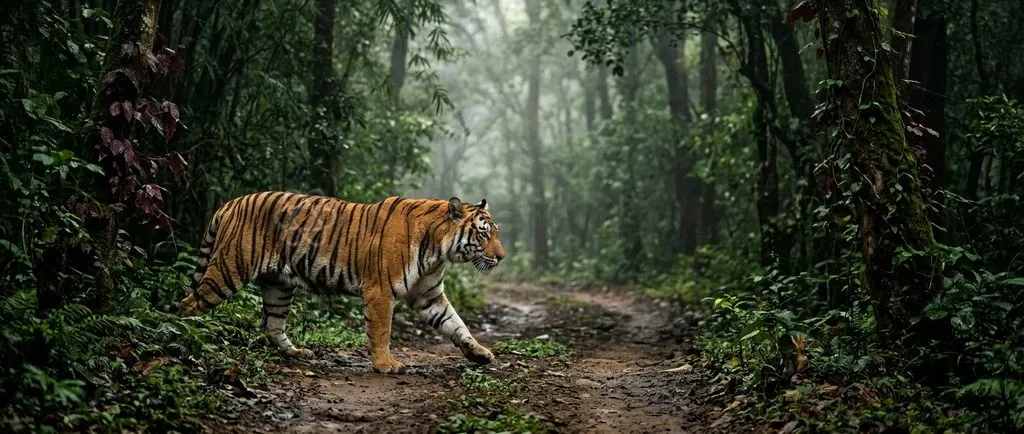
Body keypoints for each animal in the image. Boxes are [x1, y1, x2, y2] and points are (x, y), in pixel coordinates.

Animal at [178, 192, 505, 373]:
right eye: (484, 233)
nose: (501, 257)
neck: (439, 250)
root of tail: (230, 203)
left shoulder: (429, 295)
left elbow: (456, 324)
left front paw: (480, 353)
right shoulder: (380, 291)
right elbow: (382, 331)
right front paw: (386, 365)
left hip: (279, 285)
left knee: (272, 325)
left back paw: (297, 353)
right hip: (230, 269)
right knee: (188, 303)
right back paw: (186, 339)